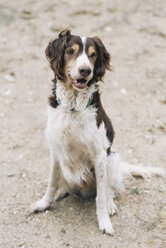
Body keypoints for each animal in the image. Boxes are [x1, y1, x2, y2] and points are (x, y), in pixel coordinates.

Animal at [30, 29, 165, 234]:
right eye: (71, 51)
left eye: (93, 55)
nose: (85, 71)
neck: (73, 107)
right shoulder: (55, 149)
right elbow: (52, 182)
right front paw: (44, 203)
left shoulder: (100, 155)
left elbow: (101, 195)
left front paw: (104, 221)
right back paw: (62, 193)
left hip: (112, 159)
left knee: (108, 190)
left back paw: (109, 205)